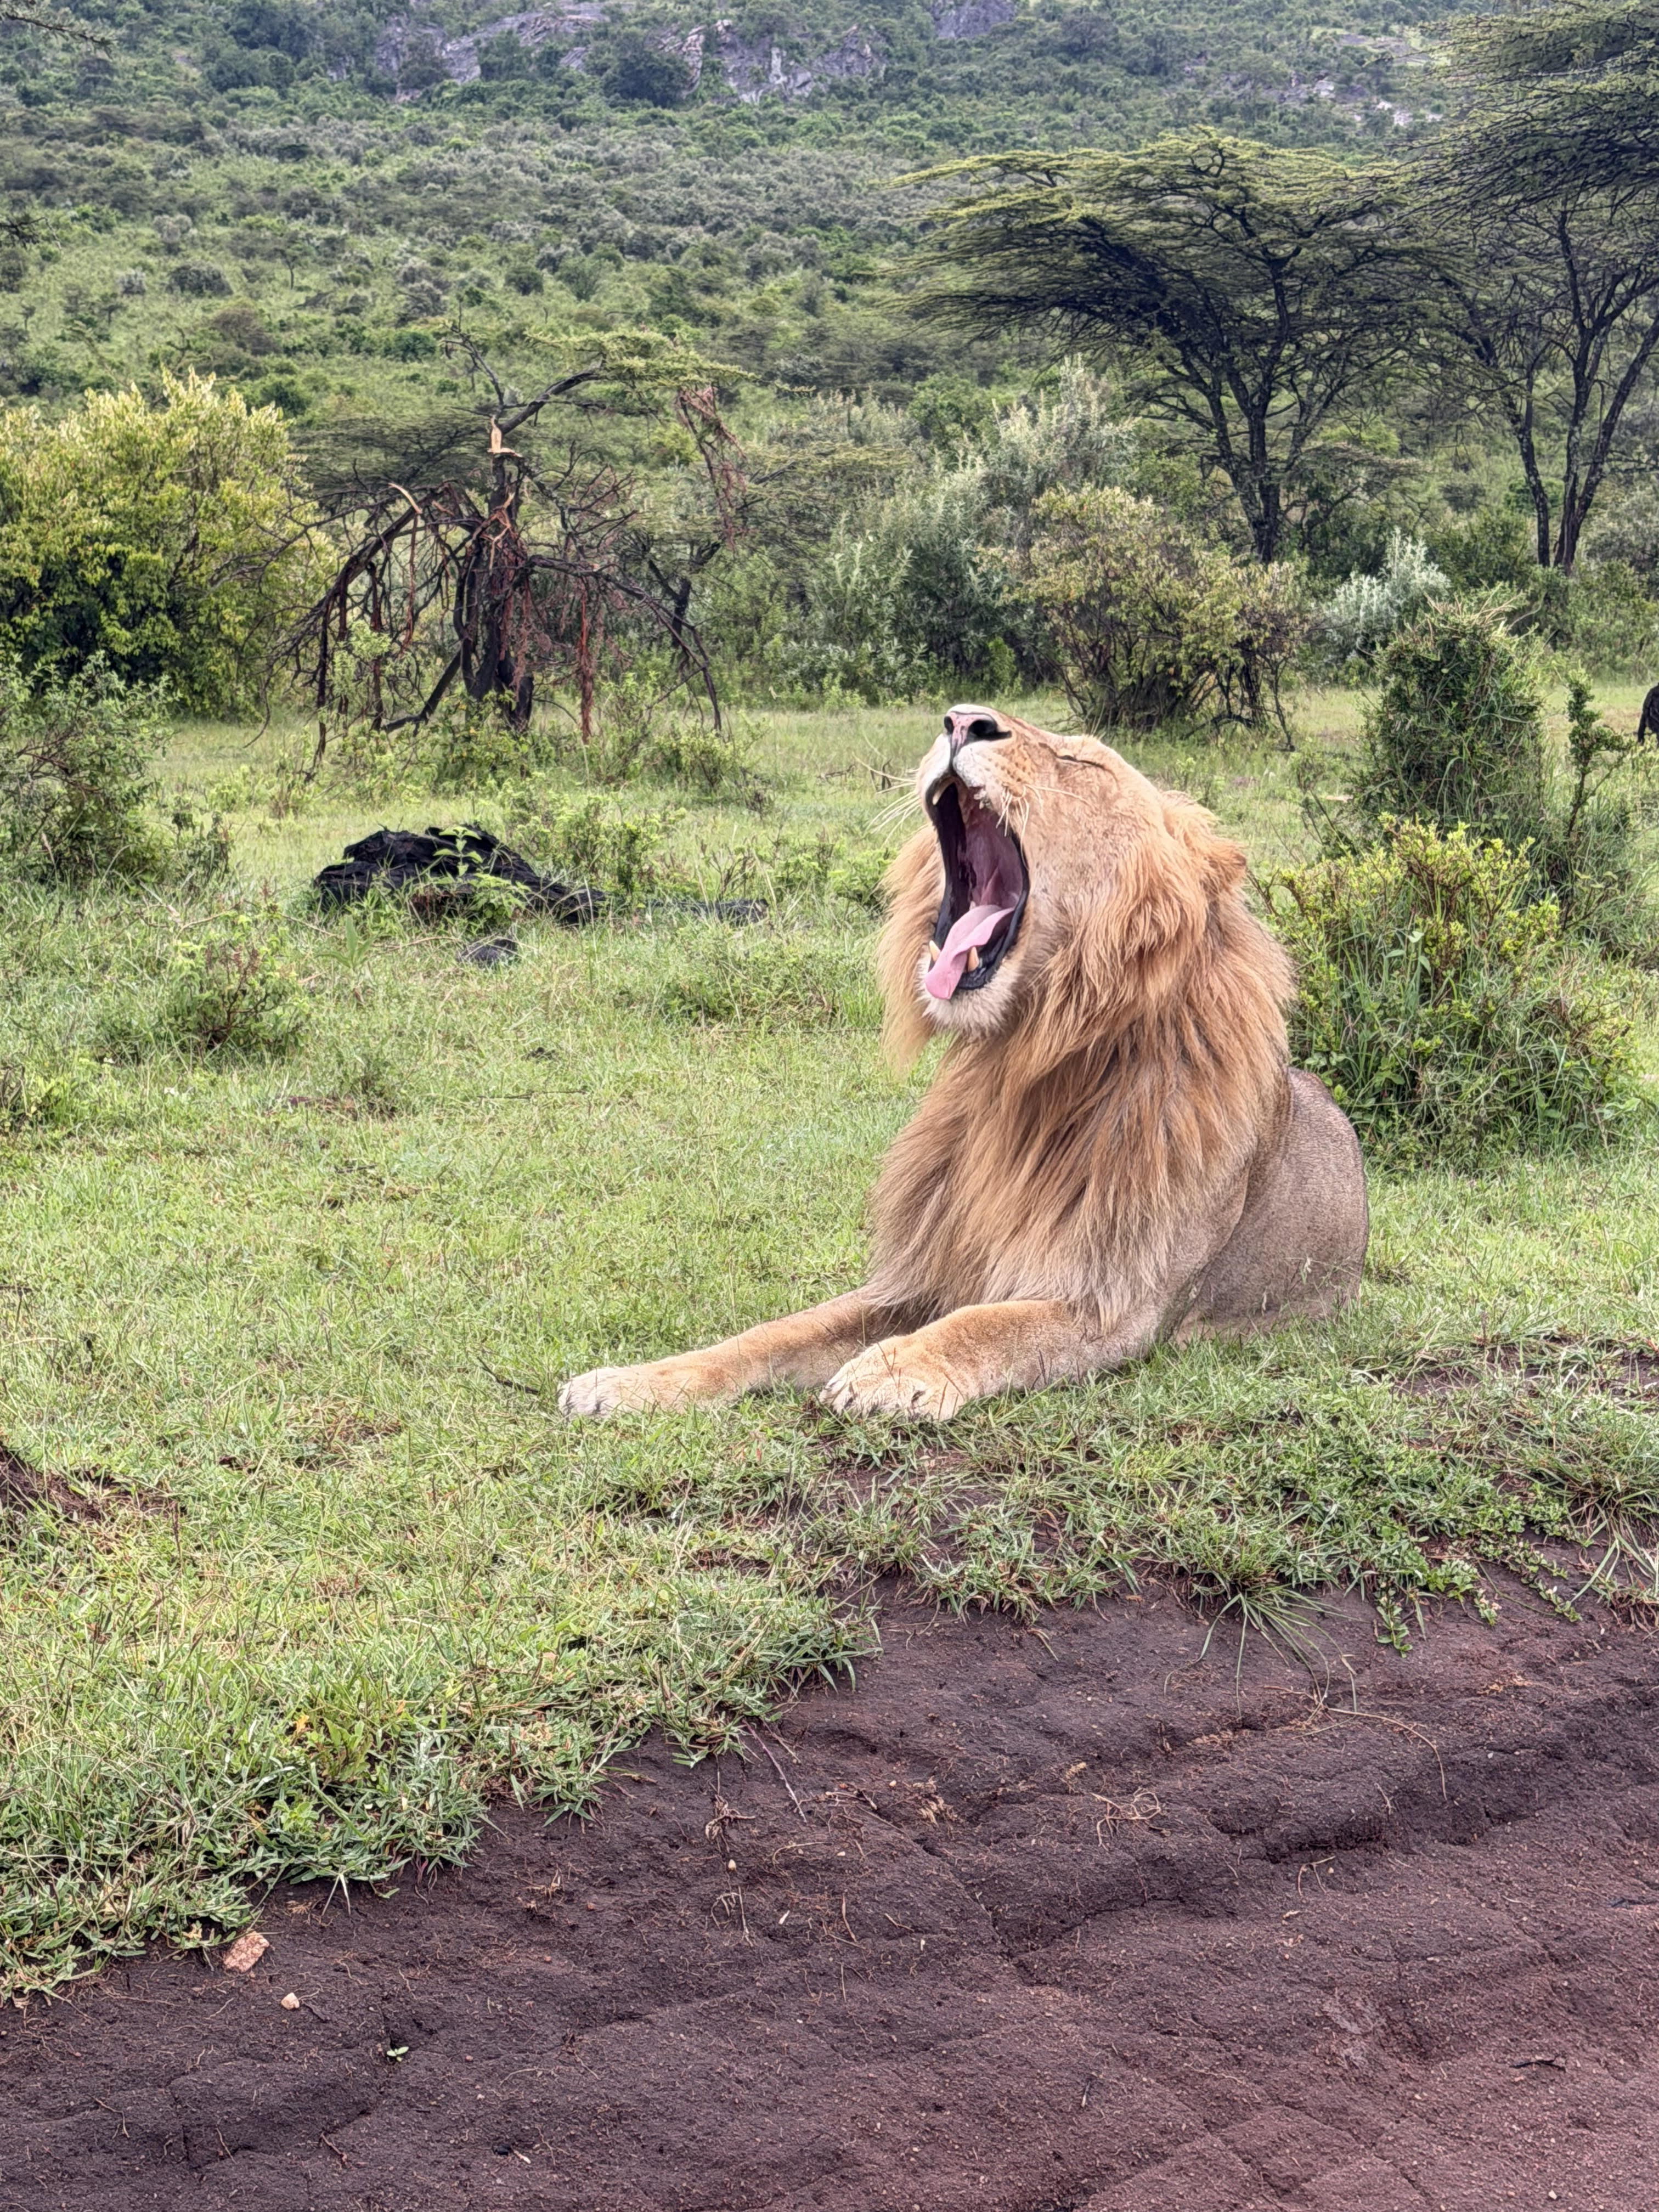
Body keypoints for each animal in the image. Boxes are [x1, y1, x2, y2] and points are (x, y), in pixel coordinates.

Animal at [560, 704, 1368, 1422]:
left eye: (1082, 764)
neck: (1023, 1065)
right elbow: (775, 1332)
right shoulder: (925, 1271)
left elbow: (991, 1326)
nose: (959, 721)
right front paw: (626, 1382)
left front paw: (892, 1370)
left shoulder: (1118, 1304)